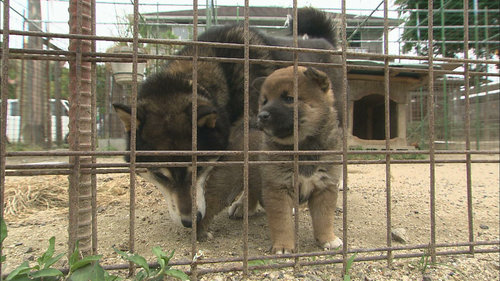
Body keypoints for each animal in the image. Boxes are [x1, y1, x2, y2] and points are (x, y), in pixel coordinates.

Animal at [258, 66, 344, 254]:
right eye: (264, 101)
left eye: (289, 98)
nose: (261, 115)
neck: (303, 147)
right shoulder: (278, 188)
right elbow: (282, 223)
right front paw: (283, 246)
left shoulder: (325, 186)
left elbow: (324, 218)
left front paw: (328, 239)